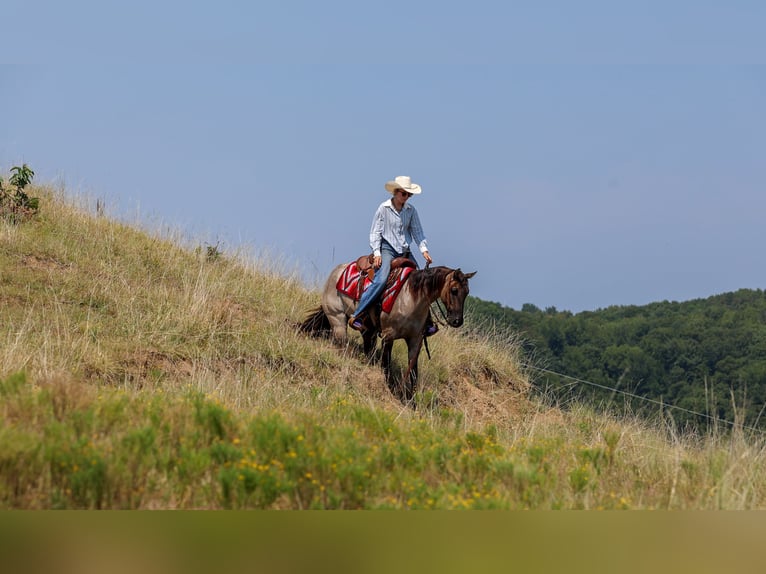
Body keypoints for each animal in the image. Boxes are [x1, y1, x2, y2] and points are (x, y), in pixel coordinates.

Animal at [299, 263, 476, 401]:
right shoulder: (388, 335)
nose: (457, 321)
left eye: (467, 292)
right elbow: (386, 364)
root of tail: (337, 272)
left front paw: (411, 400)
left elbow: (413, 372)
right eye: (454, 290)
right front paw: (389, 389)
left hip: (367, 330)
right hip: (337, 320)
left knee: (367, 349)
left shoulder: (415, 340)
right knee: (342, 345)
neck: (411, 298)